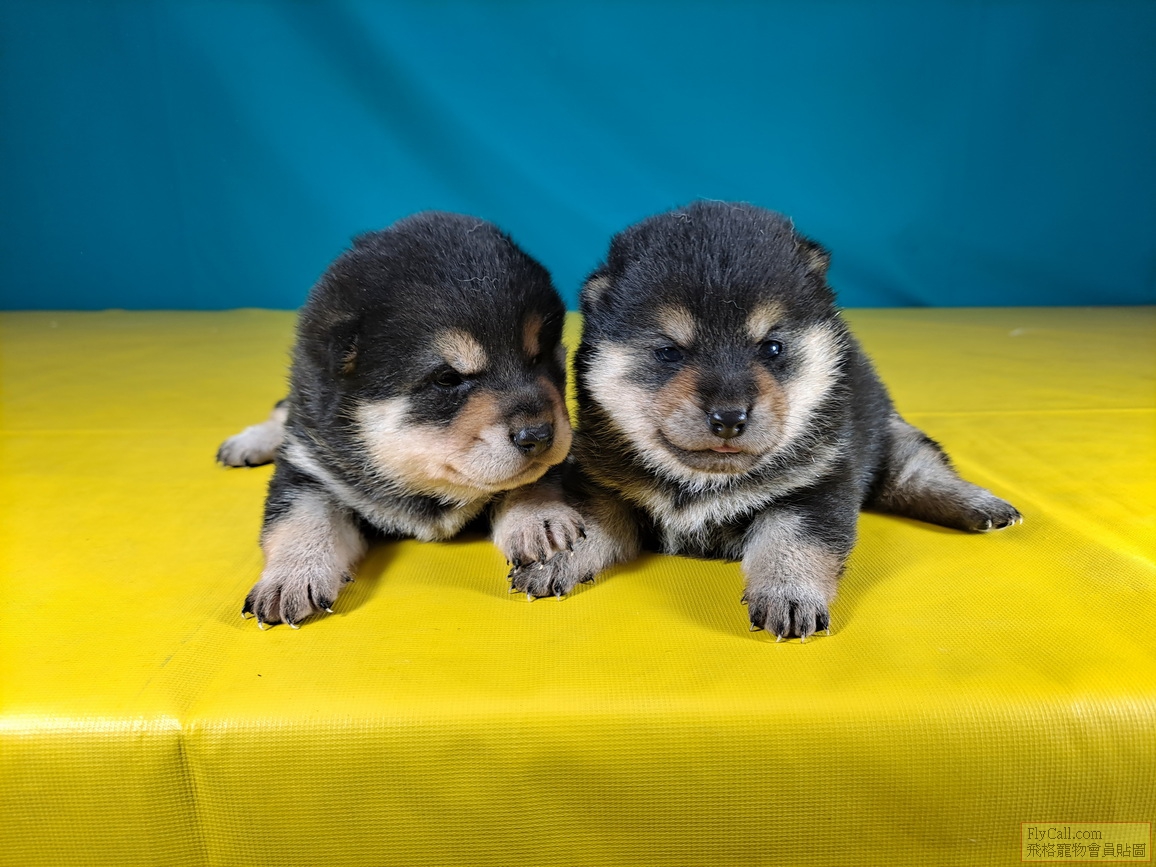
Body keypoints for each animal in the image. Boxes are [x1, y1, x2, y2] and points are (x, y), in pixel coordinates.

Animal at [218, 212, 574, 627]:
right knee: (284, 410)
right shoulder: (311, 468)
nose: (539, 434)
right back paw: (250, 441)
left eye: (540, 357)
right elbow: (300, 518)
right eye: (447, 378)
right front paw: (290, 576)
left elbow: (532, 479)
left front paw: (538, 519)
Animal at [499, 201, 1021, 639]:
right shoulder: (606, 486)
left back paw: (981, 505)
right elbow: (586, 523)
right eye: (669, 352)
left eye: (771, 347)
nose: (729, 417)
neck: (702, 482)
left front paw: (790, 595)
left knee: (919, 473)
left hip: (889, 437)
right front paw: (554, 556)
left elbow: (794, 542)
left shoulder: (816, 487)